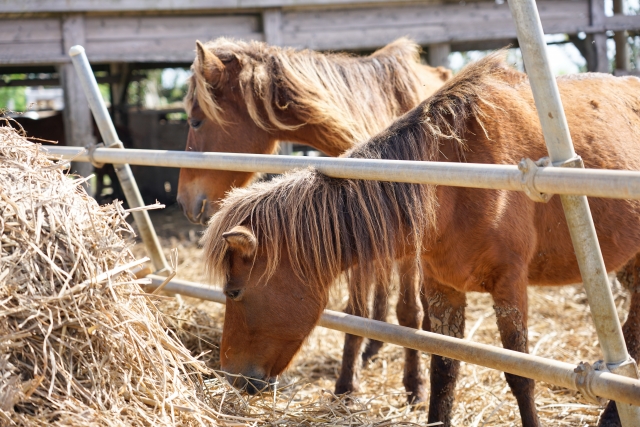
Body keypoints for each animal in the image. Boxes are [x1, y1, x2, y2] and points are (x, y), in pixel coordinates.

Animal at [177, 37, 451, 402]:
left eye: (195, 121)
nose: (183, 200)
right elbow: (356, 311)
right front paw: (347, 382)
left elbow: (409, 312)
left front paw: (415, 385)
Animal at [201, 52, 640, 427]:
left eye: (234, 292)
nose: (232, 376)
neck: (456, 178)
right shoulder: (442, 288)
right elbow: (443, 370)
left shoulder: (510, 288)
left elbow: (520, 374)